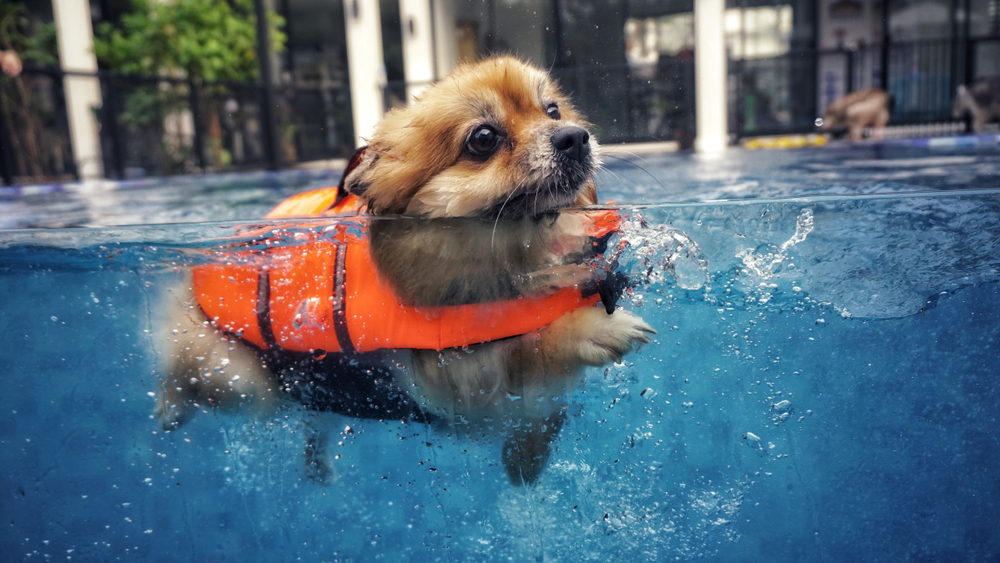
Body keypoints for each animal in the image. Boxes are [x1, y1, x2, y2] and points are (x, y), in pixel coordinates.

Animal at [154, 57, 656, 484]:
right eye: (483, 139)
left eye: (552, 110)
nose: (575, 135)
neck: (519, 256)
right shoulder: (462, 384)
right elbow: (529, 347)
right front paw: (593, 328)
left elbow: (540, 408)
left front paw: (526, 460)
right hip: (235, 373)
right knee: (188, 376)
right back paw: (168, 408)